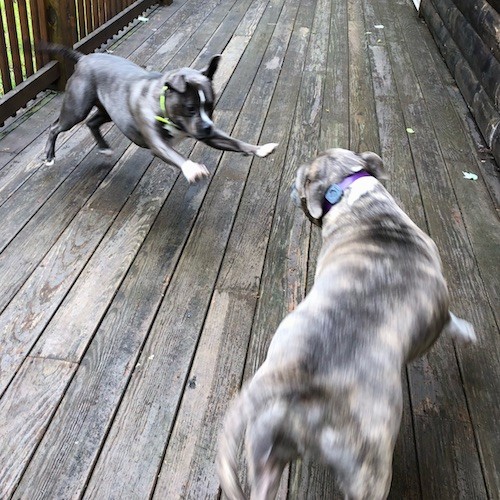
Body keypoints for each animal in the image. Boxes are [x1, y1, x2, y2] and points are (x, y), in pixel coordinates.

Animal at [43, 46, 278, 183]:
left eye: (211, 106)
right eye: (190, 108)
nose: (208, 127)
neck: (164, 106)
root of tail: (84, 58)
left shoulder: (209, 135)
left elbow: (234, 141)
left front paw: (260, 148)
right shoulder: (158, 145)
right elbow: (176, 156)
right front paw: (192, 168)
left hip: (108, 111)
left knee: (92, 122)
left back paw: (104, 147)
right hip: (76, 110)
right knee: (55, 127)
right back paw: (49, 157)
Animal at [219, 146, 476, 498]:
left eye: (300, 179)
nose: (290, 188)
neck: (353, 201)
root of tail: (294, 380)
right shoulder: (436, 317)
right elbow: (451, 323)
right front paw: (467, 332)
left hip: (264, 453)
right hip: (370, 471)